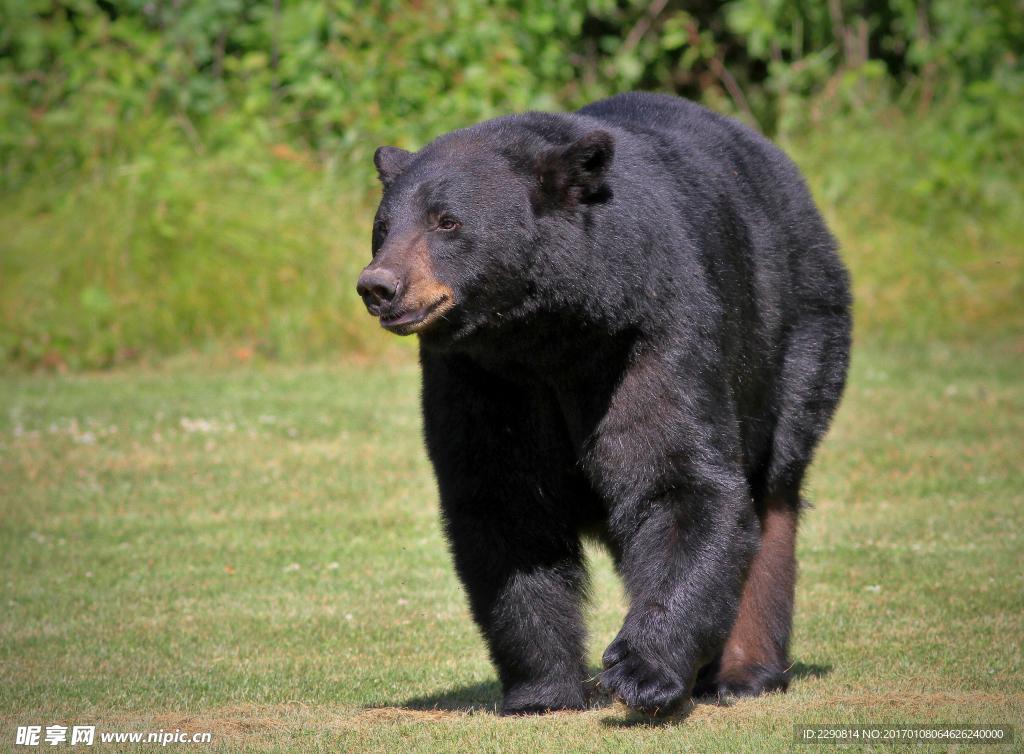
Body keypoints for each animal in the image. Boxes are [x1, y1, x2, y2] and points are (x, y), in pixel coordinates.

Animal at [356, 91, 851, 717]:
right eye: (382, 227)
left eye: (447, 221)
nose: (379, 286)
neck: (550, 332)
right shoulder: (482, 375)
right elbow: (503, 504)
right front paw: (541, 691)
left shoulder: (652, 332)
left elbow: (678, 477)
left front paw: (643, 672)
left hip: (798, 333)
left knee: (773, 492)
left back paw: (744, 671)